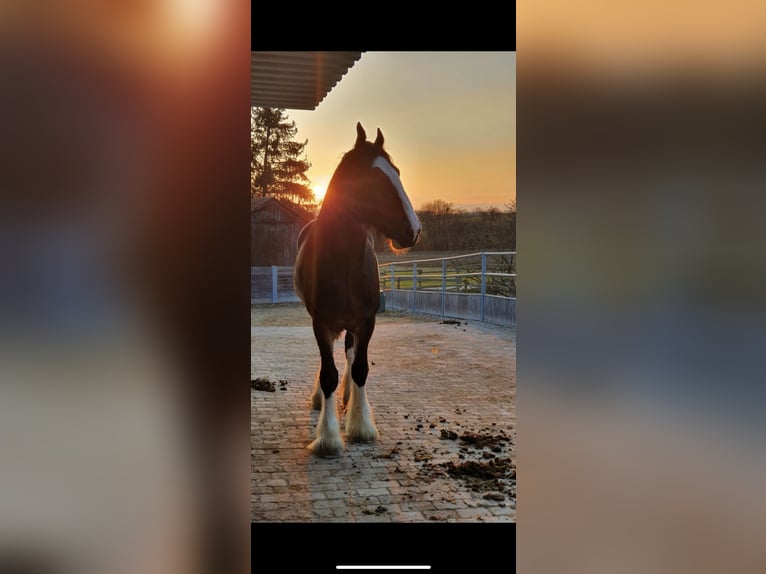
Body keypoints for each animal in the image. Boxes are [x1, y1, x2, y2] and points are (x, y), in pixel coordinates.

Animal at [293, 123, 422, 457]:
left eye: (396, 172)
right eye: (372, 179)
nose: (414, 230)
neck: (345, 261)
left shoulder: (367, 321)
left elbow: (361, 367)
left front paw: (361, 426)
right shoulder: (321, 322)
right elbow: (328, 374)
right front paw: (328, 437)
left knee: (350, 354)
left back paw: (349, 398)